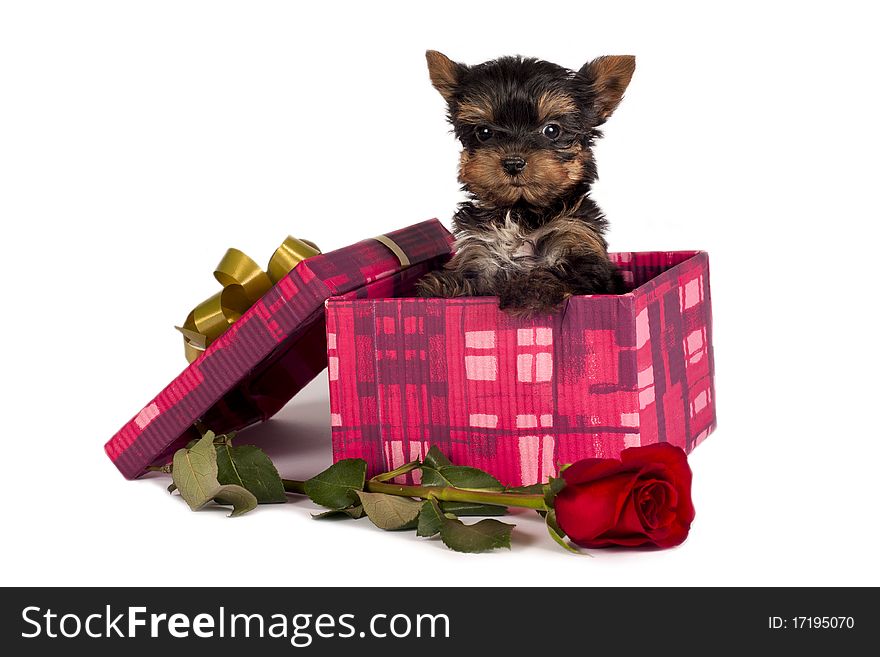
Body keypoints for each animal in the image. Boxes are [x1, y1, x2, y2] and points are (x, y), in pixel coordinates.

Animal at [418, 50, 632, 312]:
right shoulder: (479, 251)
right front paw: (444, 288)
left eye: (552, 131)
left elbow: (561, 274)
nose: (513, 162)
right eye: (484, 132)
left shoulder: (579, 243)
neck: (521, 211)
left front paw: (529, 289)